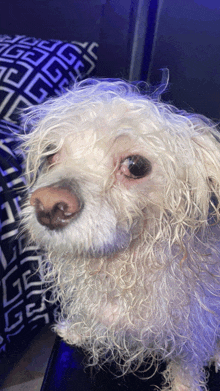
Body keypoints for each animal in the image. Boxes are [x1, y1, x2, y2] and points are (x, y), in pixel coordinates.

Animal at [22, 79, 220, 391]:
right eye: (51, 153)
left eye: (136, 166)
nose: (49, 205)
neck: (120, 268)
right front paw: (76, 330)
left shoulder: (192, 336)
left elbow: (186, 370)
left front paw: (185, 387)